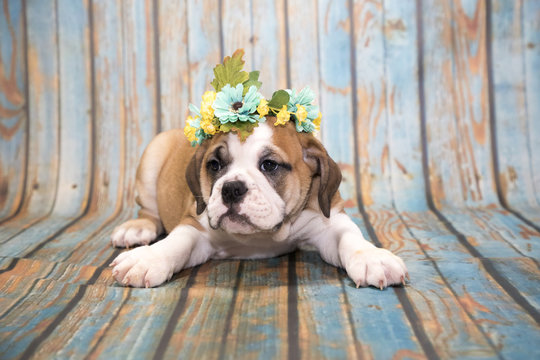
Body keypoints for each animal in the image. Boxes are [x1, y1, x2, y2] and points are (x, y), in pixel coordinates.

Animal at [109, 118, 408, 290]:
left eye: (269, 165)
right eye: (214, 165)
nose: (231, 188)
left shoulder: (328, 220)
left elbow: (350, 237)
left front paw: (371, 256)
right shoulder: (196, 227)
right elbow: (176, 243)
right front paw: (148, 258)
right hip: (152, 157)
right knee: (149, 211)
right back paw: (137, 228)